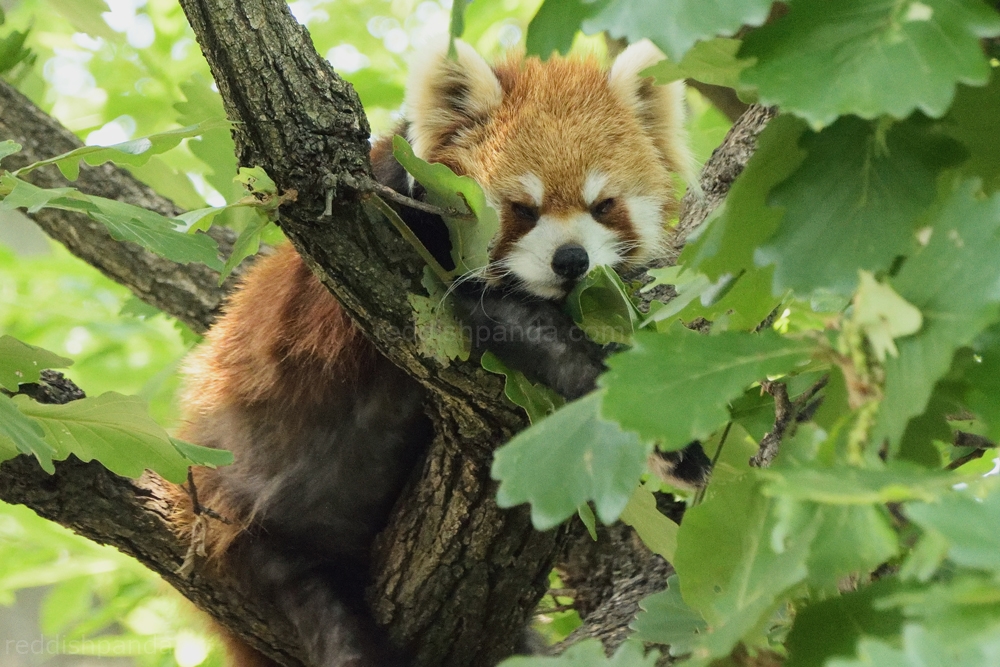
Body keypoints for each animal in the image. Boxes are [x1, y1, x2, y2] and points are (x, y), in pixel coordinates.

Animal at [174, 37, 696, 667]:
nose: (570, 261)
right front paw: (662, 437)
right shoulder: (409, 236)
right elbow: (517, 325)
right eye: (523, 209)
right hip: (249, 507)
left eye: (603, 206)